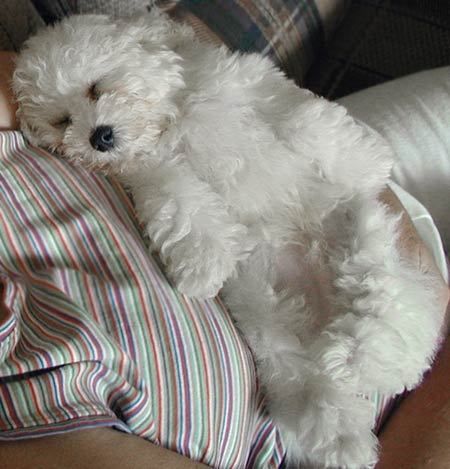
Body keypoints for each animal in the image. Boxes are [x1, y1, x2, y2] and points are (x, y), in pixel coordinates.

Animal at [14, 11, 442, 468]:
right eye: (62, 121)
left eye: (96, 87)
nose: (99, 136)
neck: (169, 123)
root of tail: (323, 313)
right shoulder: (156, 174)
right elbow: (180, 204)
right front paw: (202, 265)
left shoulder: (249, 83)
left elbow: (302, 118)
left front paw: (365, 160)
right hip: (264, 320)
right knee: (303, 374)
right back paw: (337, 431)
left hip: (364, 233)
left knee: (380, 302)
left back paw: (358, 354)